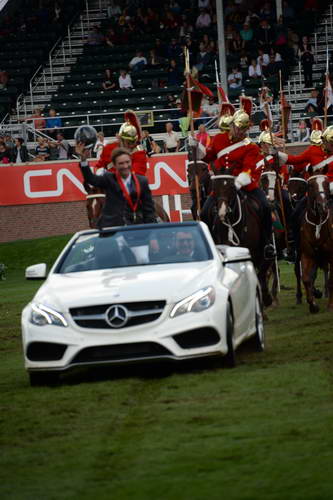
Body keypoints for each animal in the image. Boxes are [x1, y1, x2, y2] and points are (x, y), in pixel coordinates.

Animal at [298, 174, 332, 310]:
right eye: (311, 185)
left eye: (326, 184)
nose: (321, 205)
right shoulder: (307, 255)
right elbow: (306, 279)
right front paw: (313, 305)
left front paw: (330, 305)